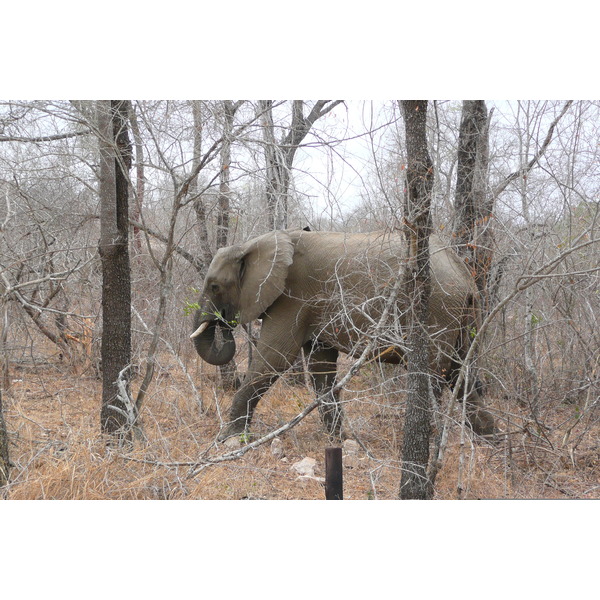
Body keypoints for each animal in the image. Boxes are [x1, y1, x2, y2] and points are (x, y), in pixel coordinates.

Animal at [192, 229, 496, 440]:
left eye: (215, 286)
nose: (223, 323)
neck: (254, 243)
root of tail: (465, 274)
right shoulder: (312, 307)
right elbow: (320, 367)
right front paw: (338, 440)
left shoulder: (292, 299)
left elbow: (274, 358)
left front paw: (228, 439)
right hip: (463, 316)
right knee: (460, 373)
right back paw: (493, 444)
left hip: (436, 308)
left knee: (435, 373)